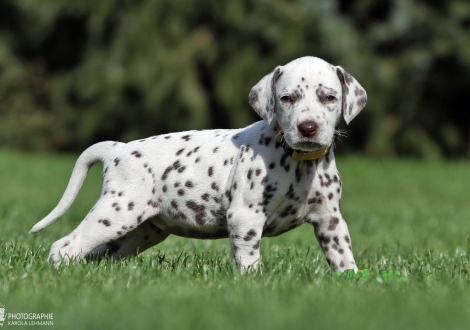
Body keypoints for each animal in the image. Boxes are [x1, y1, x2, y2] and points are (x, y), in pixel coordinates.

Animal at [31, 56, 368, 274]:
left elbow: (343, 257)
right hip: (115, 213)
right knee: (65, 246)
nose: (308, 128)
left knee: (100, 255)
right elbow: (249, 260)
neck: (298, 162)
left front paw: (351, 281)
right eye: (286, 98)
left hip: (140, 232)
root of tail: (119, 149)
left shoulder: (330, 221)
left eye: (329, 97)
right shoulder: (245, 218)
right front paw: (254, 283)